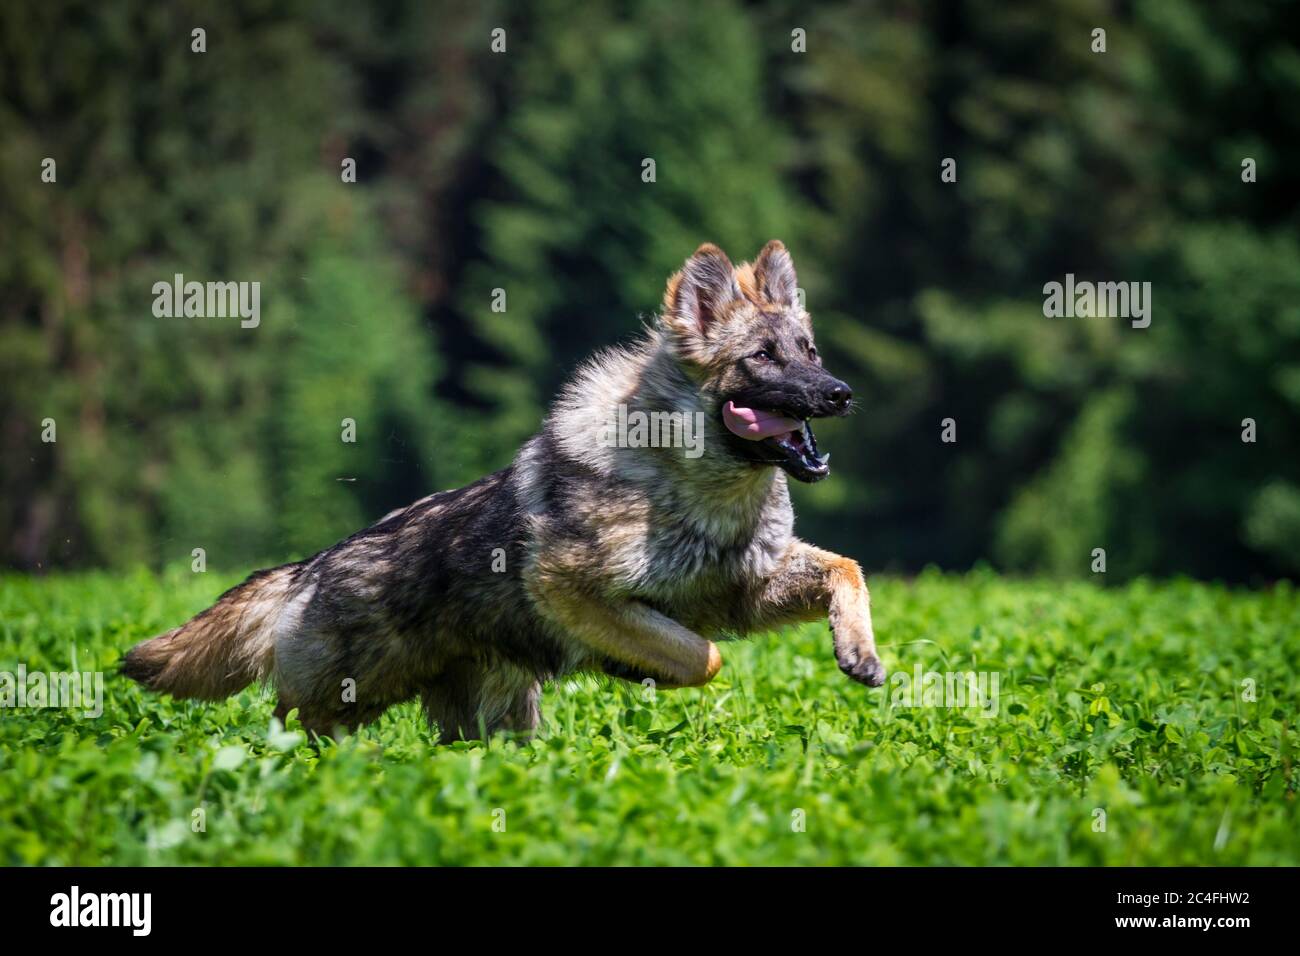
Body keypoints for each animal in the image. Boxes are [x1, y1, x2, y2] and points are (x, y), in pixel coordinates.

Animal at [124, 239, 883, 738]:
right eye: (762, 357)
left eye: (810, 351)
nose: (841, 393)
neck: (703, 486)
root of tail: (308, 568)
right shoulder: (568, 588)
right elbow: (705, 656)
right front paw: (639, 669)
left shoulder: (746, 588)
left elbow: (847, 567)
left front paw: (860, 652)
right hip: (348, 694)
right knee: (286, 722)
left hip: (486, 717)